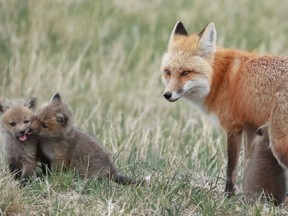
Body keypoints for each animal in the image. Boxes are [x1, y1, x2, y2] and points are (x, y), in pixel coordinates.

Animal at [161, 21, 288, 196]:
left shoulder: (233, 126)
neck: (219, 77)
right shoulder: (250, 128)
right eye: (168, 72)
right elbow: (248, 162)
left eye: (185, 73)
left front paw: (228, 195)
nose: (167, 95)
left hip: (279, 144)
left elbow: (231, 169)